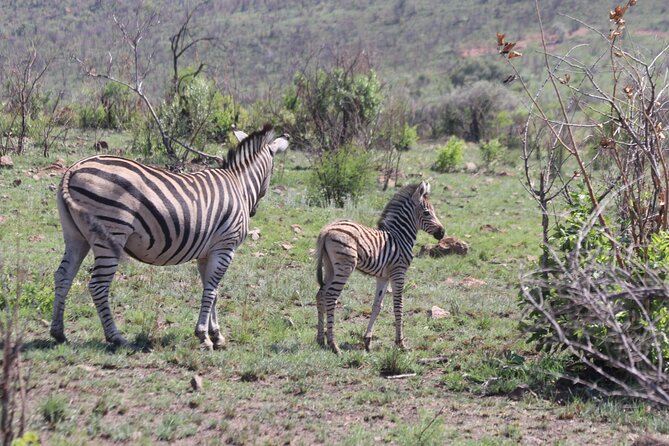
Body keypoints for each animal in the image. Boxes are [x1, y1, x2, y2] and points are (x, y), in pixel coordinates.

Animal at [53, 124, 288, 348]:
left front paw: (216, 334)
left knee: (63, 276)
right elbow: (211, 291)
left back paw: (59, 333)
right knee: (98, 286)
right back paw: (116, 337)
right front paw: (204, 336)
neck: (239, 184)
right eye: (273, 169)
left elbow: (211, 291)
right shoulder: (225, 247)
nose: (254, 211)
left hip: (76, 237)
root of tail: (74, 168)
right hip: (110, 234)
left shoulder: (207, 253)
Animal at [314, 183, 444, 354]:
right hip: (344, 267)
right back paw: (333, 345)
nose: (442, 233)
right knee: (330, 296)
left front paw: (367, 341)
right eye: (427, 212)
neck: (400, 236)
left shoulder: (383, 276)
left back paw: (321, 340)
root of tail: (326, 230)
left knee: (320, 295)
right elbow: (398, 306)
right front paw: (401, 343)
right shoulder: (398, 272)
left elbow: (377, 306)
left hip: (330, 267)